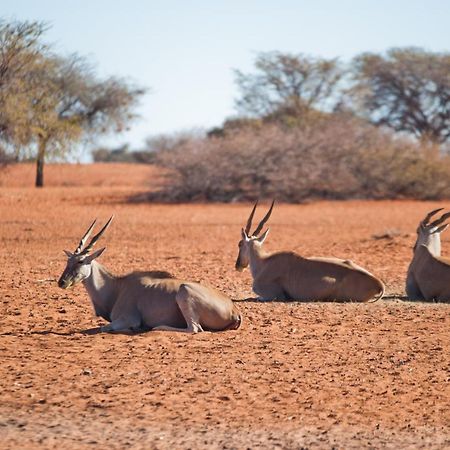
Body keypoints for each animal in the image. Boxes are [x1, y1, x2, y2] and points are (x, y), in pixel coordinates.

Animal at [59, 216, 243, 332]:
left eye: (80, 261)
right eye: (68, 261)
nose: (61, 282)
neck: (117, 287)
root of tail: (234, 310)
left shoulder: (128, 318)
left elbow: (105, 327)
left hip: (184, 291)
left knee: (195, 329)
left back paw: (158, 327)